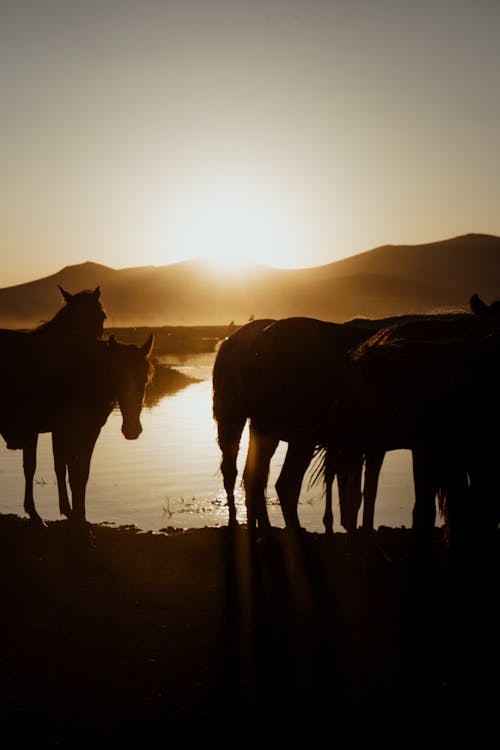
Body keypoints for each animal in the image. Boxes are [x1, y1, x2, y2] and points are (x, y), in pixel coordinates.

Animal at [0, 332, 153, 536]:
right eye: (117, 377)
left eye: (144, 379)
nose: (132, 429)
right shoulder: (59, 429)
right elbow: (58, 470)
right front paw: (73, 520)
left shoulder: (90, 429)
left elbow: (79, 473)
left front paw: (78, 516)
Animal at [19, 284, 107, 524]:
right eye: (74, 317)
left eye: (101, 316)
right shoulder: (39, 427)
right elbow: (33, 466)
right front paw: (35, 513)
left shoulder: (59, 428)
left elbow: (63, 466)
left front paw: (68, 510)